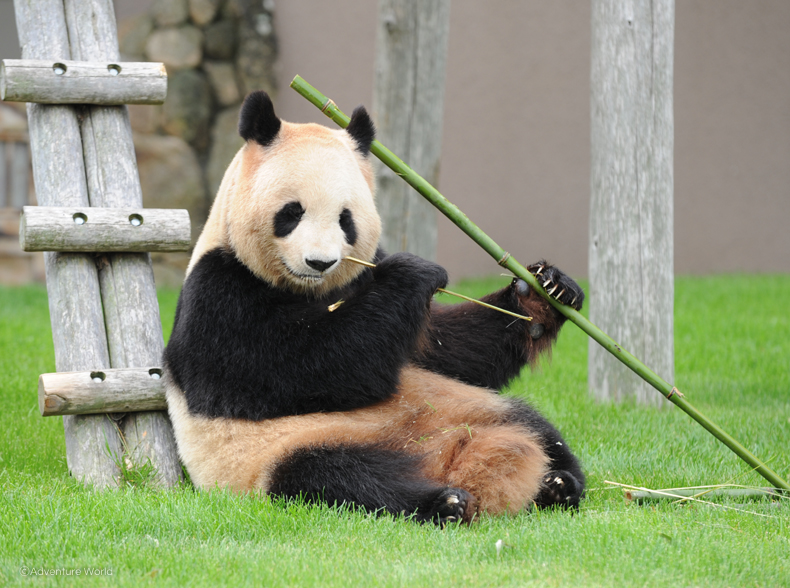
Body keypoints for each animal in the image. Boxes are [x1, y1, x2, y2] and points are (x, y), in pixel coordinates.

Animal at [164, 92, 584, 524]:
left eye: (345, 219)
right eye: (292, 212)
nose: (319, 262)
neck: (311, 291)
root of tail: (443, 458)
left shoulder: (378, 289)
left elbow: (449, 350)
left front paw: (544, 292)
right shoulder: (218, 292)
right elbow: (305, 364)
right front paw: (415, 271)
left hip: (472, 406)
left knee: (535, 426)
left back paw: (557, 483)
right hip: (280, 453)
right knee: (343, 478)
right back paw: (445, 502)